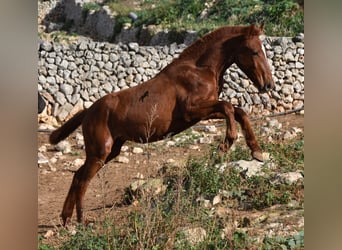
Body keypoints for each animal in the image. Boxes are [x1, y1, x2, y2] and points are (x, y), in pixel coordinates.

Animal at [50, 24, 276, 225]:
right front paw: (225, 144)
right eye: (255, 51)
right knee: (82, 180)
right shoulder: (192, 110)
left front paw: (256, 151)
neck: (200, 70)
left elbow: (239, 112)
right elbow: (229, 107)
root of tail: (88, 111)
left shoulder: (202, 114)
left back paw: (66, 219)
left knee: (78, 175)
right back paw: (80, 220)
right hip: (100, 152)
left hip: (110, 151)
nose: (268, 85)